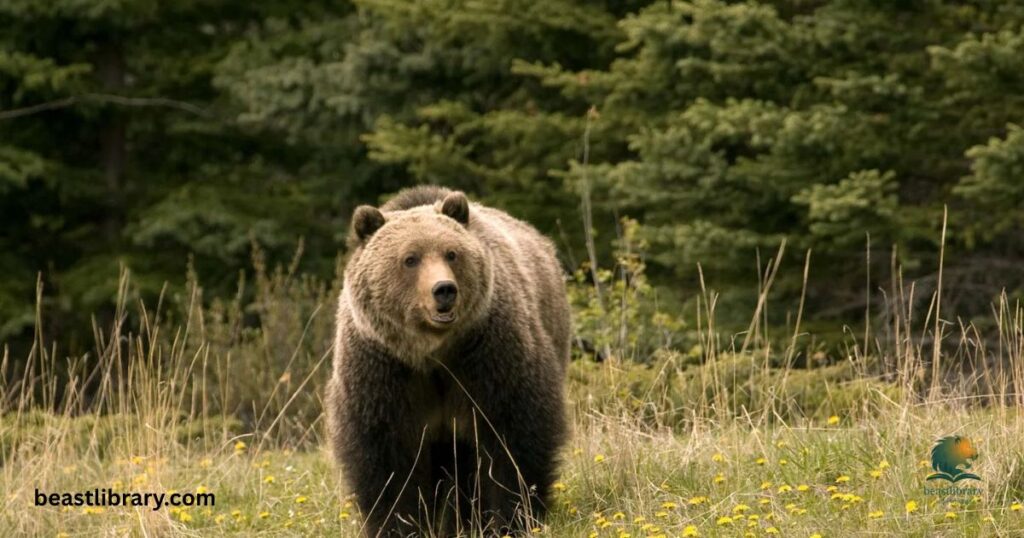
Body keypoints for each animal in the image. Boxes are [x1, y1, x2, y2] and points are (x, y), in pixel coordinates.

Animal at [325, 186, 571, 537]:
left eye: (451, 253)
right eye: (410, 258)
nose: (444, 290)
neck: (432, 353)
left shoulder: (487, 356)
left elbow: (512, 436)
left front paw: (510, 519)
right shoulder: (383, 370)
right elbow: (387, 457)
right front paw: (399, 524)